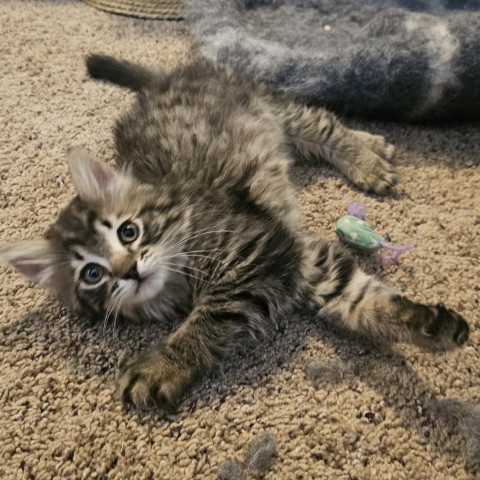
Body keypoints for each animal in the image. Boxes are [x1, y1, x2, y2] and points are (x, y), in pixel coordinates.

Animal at [0, 55, 468, 408]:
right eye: (92, 274)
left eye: (128, 232)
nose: (129, 270)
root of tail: (166, 78)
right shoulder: (305, 262)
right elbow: (367, 303)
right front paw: (435, 329)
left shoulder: (259, 252)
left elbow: (211, 316)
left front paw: (161, 366)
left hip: (276, 109)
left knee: (326, 126)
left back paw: (369, 155)